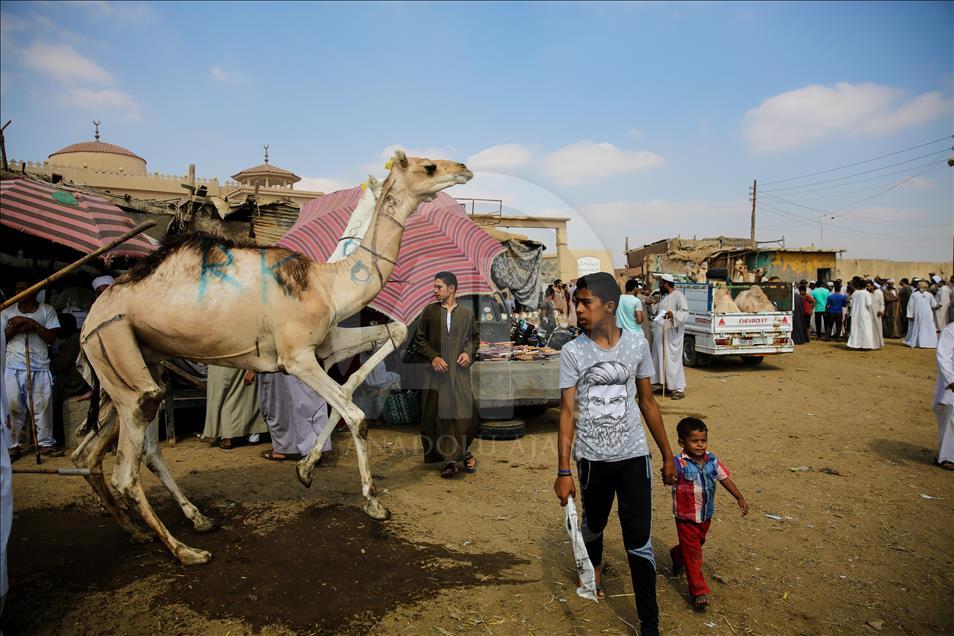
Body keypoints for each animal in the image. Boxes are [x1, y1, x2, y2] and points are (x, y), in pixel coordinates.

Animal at [73, 152, 472, 564]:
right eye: (428, 167)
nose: (463, 168)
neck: (327, 284)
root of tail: (93, 315)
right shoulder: (296, 358)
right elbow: (356, 415)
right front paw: (373, 504)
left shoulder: (323, 344)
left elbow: (386, 342)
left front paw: (306, 470)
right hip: (114, 346)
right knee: (127, 463)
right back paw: (186, 550)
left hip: (139, 364)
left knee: (107, 452)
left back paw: (171, 525)